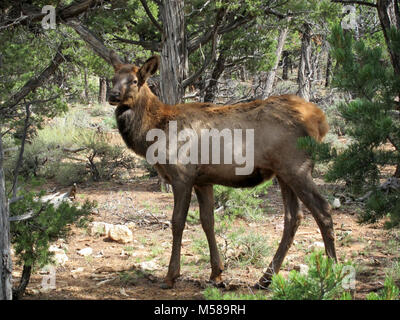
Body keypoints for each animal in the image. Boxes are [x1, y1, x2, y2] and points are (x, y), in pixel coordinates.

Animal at [108, 52, 336, 290]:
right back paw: (265, 278)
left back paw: (332, 273)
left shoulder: (182, 176)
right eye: (113, 78)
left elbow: (177, 222)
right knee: (293, 217)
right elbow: (208, 221)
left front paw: (171, 276)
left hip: (297, 167)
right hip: (283, 173)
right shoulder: (202, 180)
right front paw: (216, 273)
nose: (112, 94)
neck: (153, 133)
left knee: (322, 209)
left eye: (134, 80)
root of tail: (321, 121)